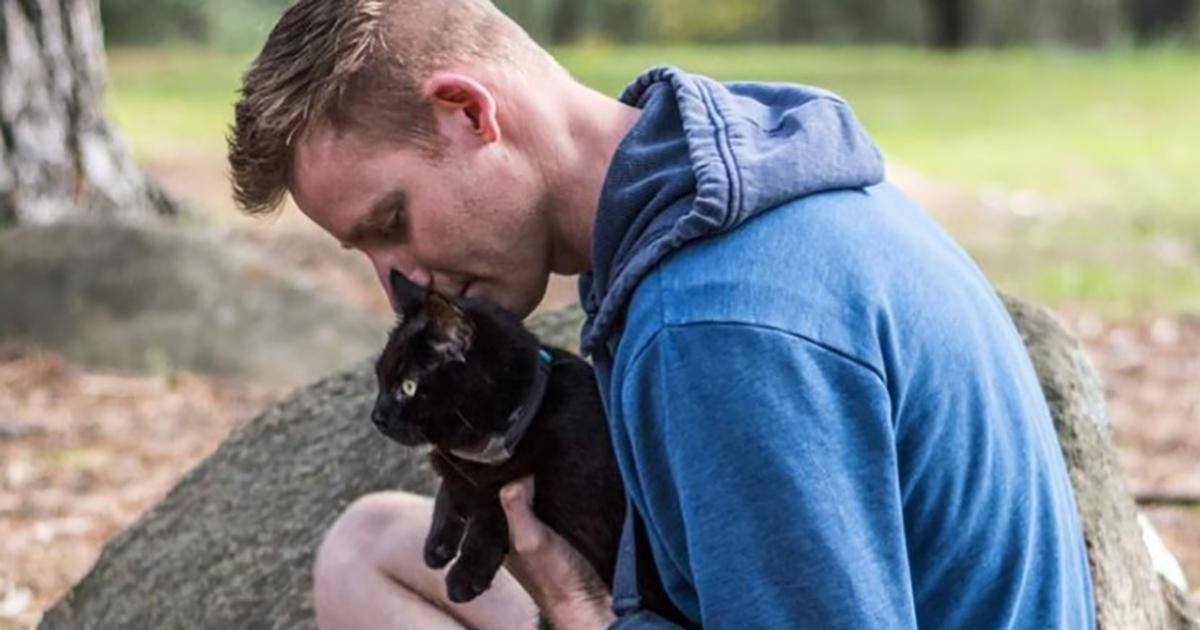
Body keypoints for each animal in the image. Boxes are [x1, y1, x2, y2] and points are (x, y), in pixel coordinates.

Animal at [369, 270, 624, 604]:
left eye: (408, 387)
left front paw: (466, 574)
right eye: (380, 378)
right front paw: (437, 543)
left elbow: (492, 509)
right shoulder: (456, 466)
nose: (377, 417)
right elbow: (450, 488)